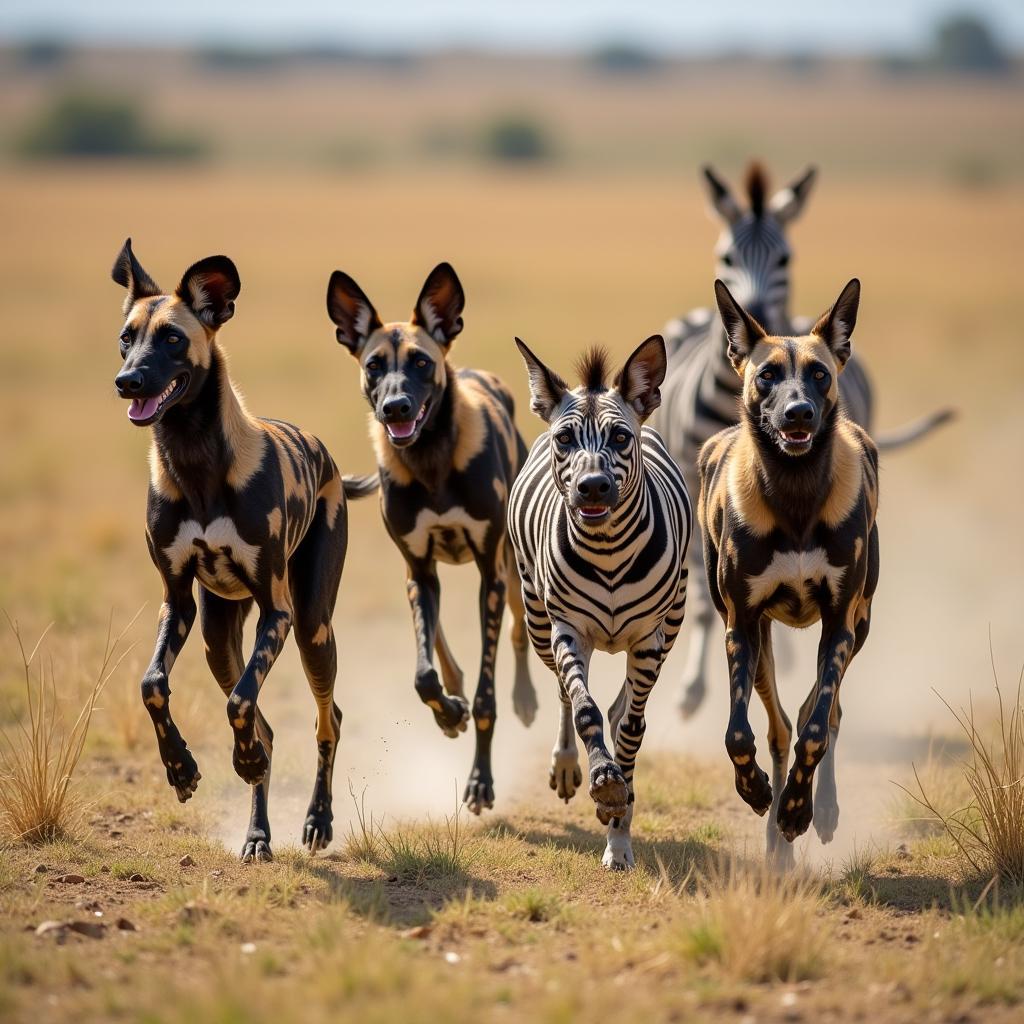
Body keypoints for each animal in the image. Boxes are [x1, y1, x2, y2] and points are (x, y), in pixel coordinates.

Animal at [112, 241, 376, 864]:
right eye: (126, 338)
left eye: (172, 338)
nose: (127, 381)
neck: (196, 464)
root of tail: (325, 456)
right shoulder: (178, 603)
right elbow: (153, 686)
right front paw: (180, 768)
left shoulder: (277, 613)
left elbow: (239, 704)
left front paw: (241, 761)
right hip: (216, 638)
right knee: (266, 724)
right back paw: (258, 834)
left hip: (312, 631)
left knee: (326, 720)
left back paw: (317, 820)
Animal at [327, 260, 540, 811]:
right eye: (374, 365)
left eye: (421, 363)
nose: (397, 407)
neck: (432, 462)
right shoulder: (419, 569)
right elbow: (423, 674)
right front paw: (447, 711)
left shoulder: (490, 574)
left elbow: (487, 698)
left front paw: (481, 780)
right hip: (422, 577)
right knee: (441, 645)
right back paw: (452, 702)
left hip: (512, 574)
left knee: (517, 634)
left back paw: (525, 698)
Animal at [507, 339, 692, 868]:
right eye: (566, 439)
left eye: (620, 437)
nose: (592, 487)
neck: (607, 552)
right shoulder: (568, 629)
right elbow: (583, 706)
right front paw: (601, 779)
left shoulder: (649, 638)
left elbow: (630, 727)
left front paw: (618, 827)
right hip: (538, 620)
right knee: (566, 693)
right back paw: (572, 767)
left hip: (672, 624)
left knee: (626, 708)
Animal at [704, 276, 880, 860]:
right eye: (768, 376)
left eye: (819, 374)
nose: (798, 413)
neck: (796, 496)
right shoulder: (739, 626)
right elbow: (739, 733)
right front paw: (759, 792)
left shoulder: (839, 625)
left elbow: (818, 728)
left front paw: (800, 810)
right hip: (760, 646)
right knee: (780, 726)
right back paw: (775, 840)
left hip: (858, 630)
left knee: (820, 716)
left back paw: (817, 810)